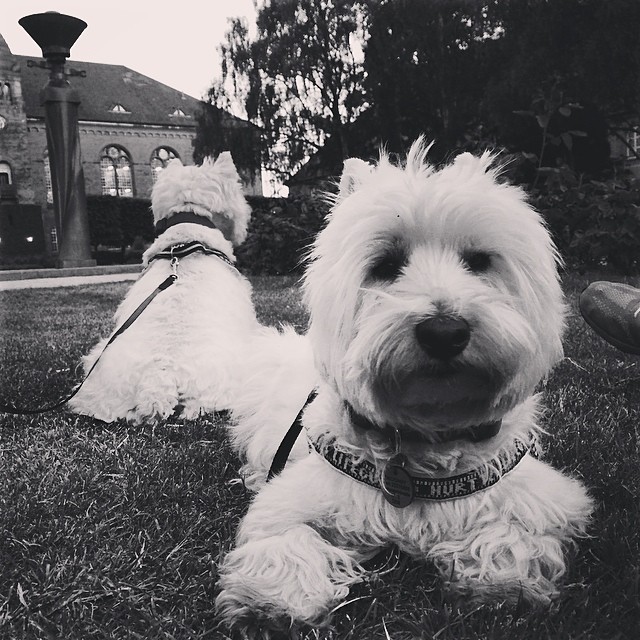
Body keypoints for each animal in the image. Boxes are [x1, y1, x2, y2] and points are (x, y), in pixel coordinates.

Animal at [216, 139, 596, 632]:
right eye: (385, 265)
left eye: (479, 261)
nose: (445, 332)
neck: (423, 441)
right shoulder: (293, 503)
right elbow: (286, 539)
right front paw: (275, 604)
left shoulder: (542, 498)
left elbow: (511, 534)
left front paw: (502, 586)